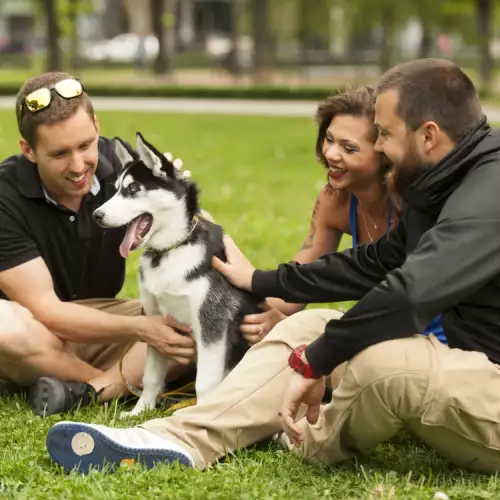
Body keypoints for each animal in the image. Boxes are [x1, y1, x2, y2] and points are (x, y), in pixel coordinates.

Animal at [93, 132, 262, 414]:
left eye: (133, 189)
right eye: (116, 189)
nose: (97, 215)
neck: (171, 250)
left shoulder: (211, 324)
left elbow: (205, 383)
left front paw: (198, 414)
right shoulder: (156, 322)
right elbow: (151, 376)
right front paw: (140, 411)